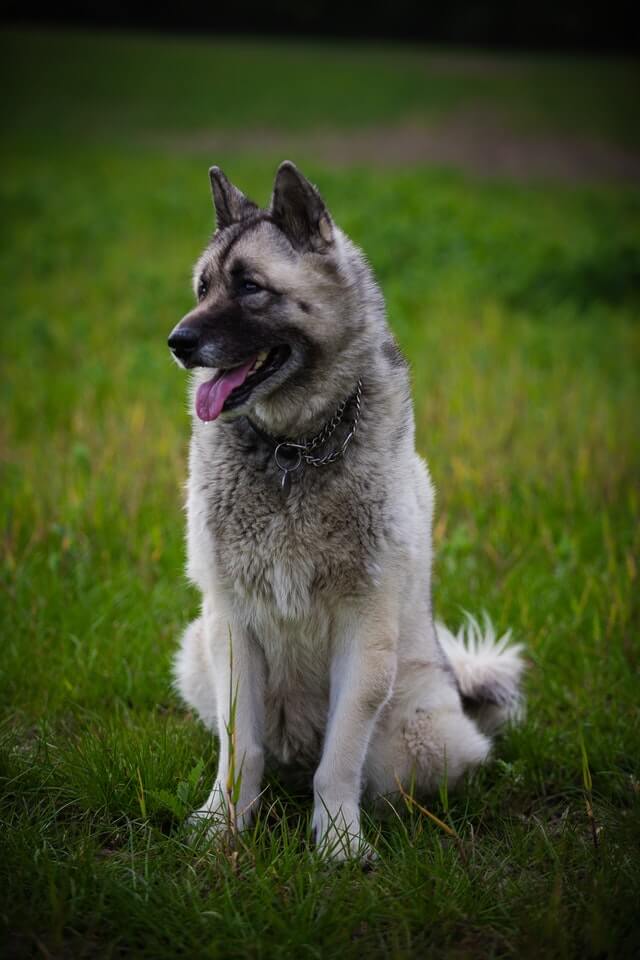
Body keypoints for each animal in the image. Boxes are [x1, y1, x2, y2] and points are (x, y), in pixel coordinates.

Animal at [168, 161, 524, 860]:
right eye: (203, 287)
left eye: (250, 287)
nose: (177, 341)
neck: (294, 449)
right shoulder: (230, 624)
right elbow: (239, 748)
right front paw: (223, 826)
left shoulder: (364, 626)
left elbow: (339, 759)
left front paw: (337, 843)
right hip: (197, 651)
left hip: (422, 741)